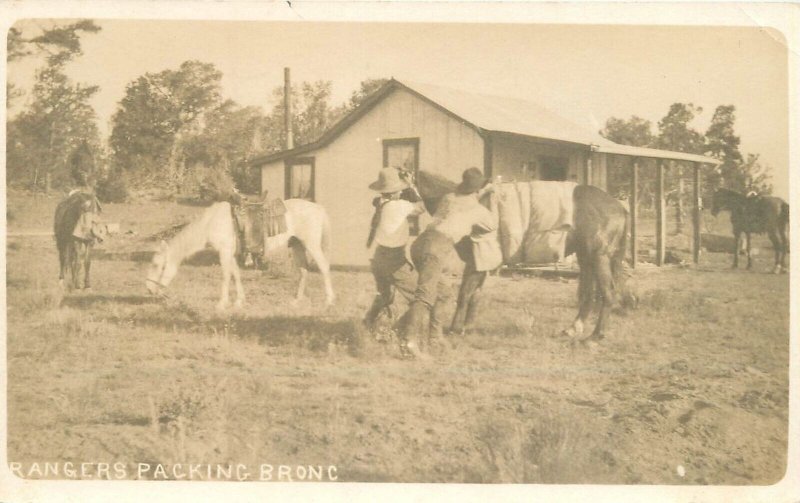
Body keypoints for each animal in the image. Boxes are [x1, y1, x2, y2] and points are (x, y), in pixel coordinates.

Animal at [147, 199, 334, 310]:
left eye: (158, 265)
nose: (149, 289)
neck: (211, 223)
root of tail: (318, 207)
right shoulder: (230, 254)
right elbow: (235, 274)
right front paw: (239, 301)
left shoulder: (224, 252)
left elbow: (225, 276)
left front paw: (222, 303)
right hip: (297, 246)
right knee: (303, 271)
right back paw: (297, 301)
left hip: (311, 245)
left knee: (324, 267)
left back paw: (329, 300)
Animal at [416, 172, 636, 342]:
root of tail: (620, 207)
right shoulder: (481, 264)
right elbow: (474, 295)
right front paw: (466, 327)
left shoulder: (476, 262)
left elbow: (464, 294)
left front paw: (455, 329)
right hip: (586, 258)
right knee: (589, 294)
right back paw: (574, 329)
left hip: (599, 257)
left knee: (608, 293)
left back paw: (595, 336)